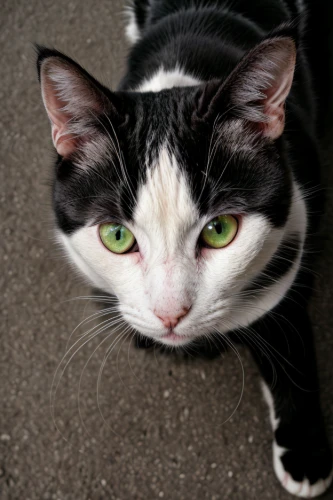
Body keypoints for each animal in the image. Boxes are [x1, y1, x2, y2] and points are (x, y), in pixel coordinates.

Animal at [37, 0, 332, 496]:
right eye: (116, 236)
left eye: (220, 230)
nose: (170, 314)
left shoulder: (295, 233)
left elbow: (288, 336)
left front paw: (305, 452)